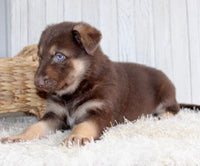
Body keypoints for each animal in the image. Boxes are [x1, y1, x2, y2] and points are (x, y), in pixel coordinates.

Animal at [1, 21, 200, 146]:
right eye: (40, 57)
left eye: (59, 56)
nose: (37, 82)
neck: (77, 88)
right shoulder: (54, 116)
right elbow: (35, 126)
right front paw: (19, 136)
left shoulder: (98, 113)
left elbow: (84, 125)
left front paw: (77, 137)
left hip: (166, 92)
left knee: (175, 108)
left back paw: (163, 115)